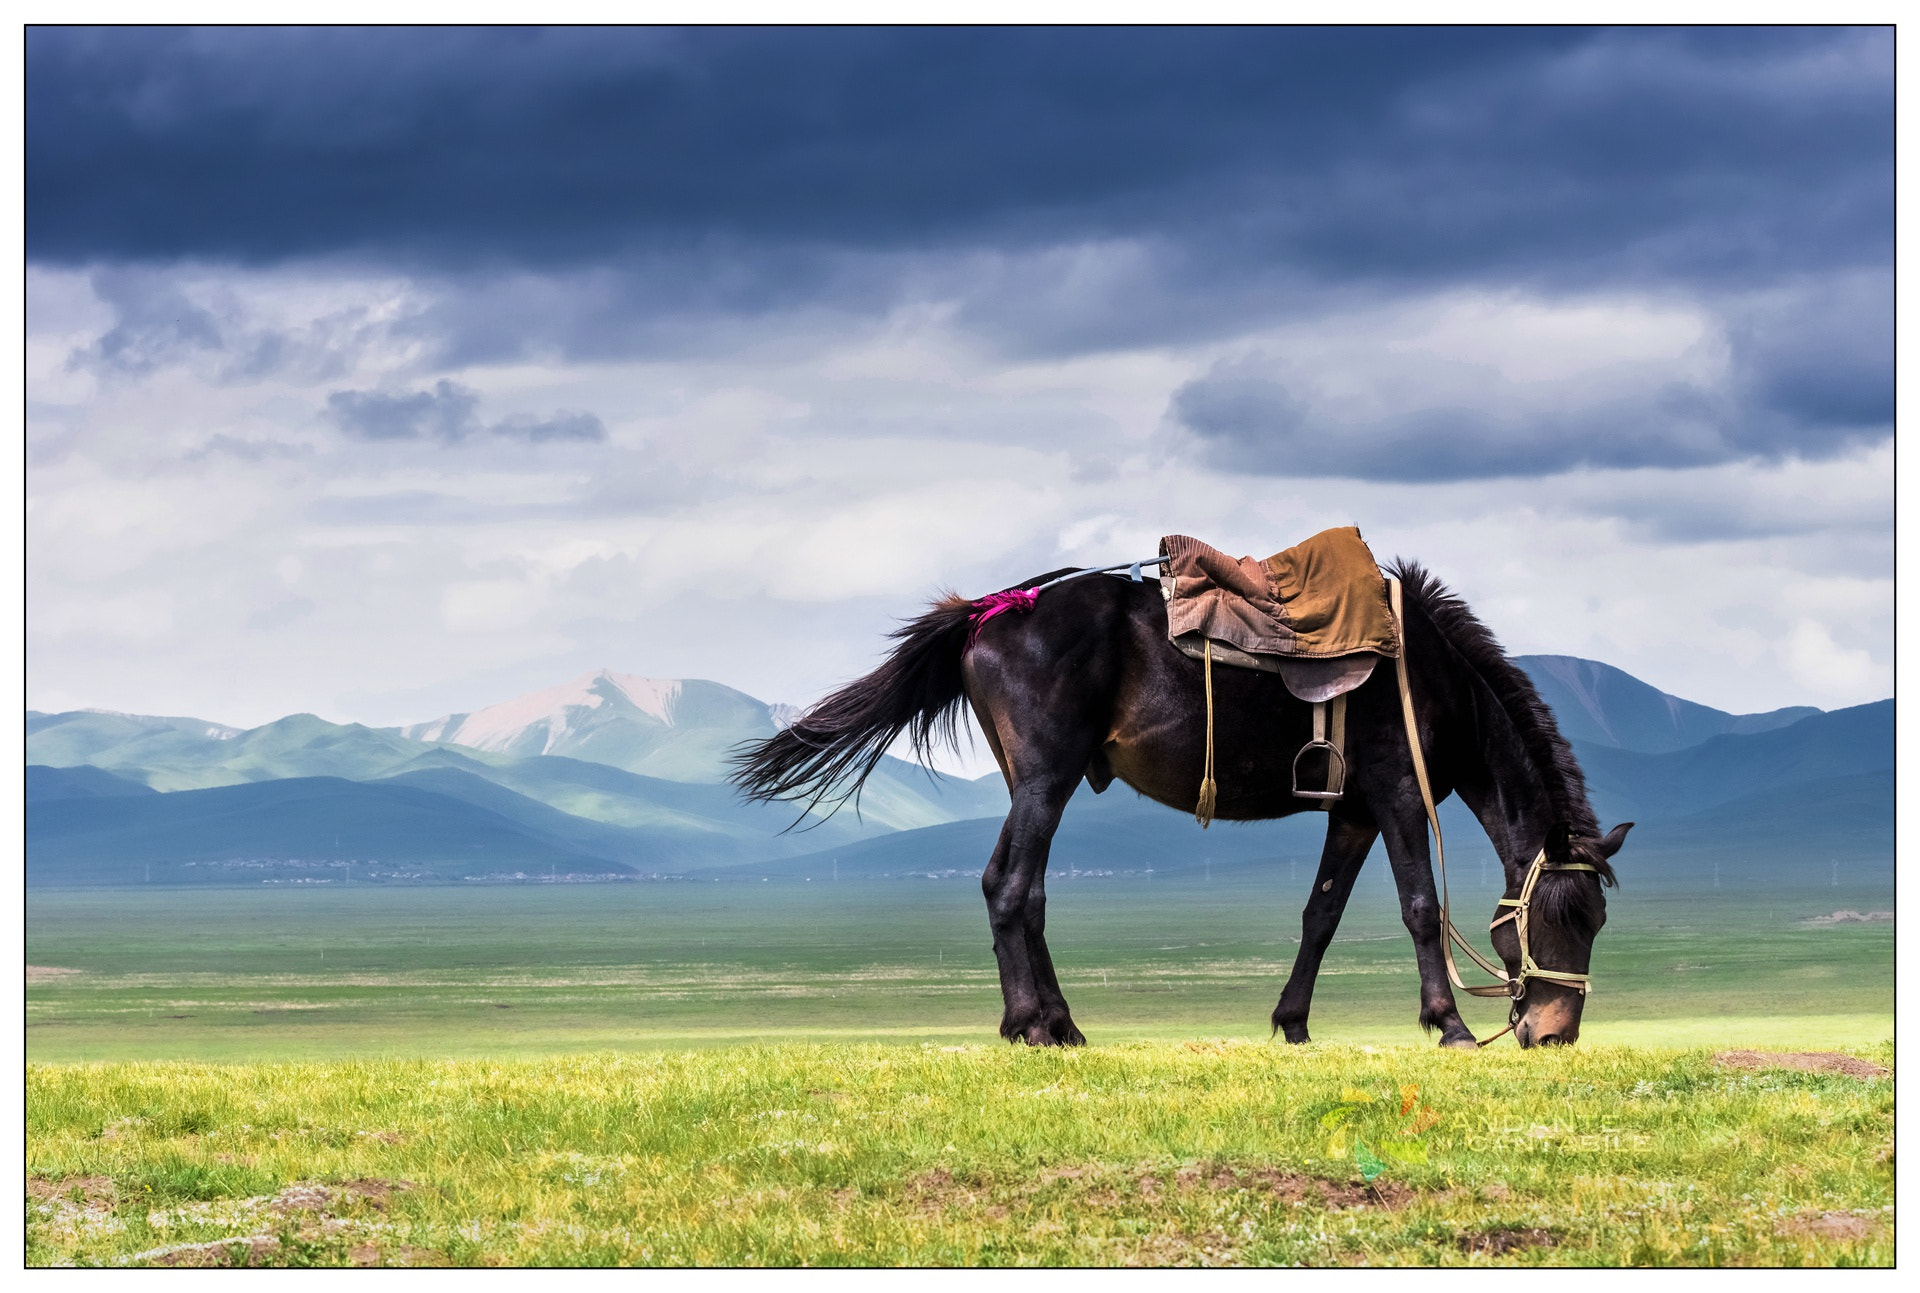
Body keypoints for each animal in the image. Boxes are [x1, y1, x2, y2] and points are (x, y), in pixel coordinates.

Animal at [725, 561, 1628, 1045]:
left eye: (1596, 921)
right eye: (1566, 918)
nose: (1553, 1032)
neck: (1431, 675)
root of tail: (991, 611)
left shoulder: (1353, 810)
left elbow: (1321, 913)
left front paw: (1292, 1023)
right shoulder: (1397, 789)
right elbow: (1417, 905)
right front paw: (1449, 1024)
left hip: (1029, 782)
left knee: (1018, 887)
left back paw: (1064, 1023)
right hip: (1047, 777)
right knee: (1011, 886)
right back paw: (1030, 1025)